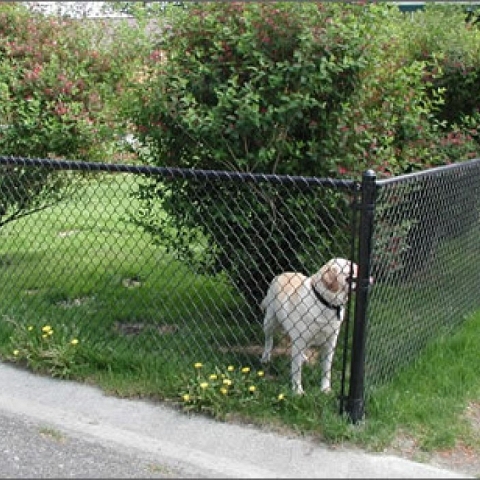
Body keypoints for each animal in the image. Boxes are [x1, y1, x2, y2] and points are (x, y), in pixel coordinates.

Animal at [260, 258, 358, 394]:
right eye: (349, 266)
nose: (359, 266)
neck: (326, 303)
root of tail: (281, 274)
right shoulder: (299, 340)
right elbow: (297, 371)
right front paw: (297, 391)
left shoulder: (330, 344)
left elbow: (326, 370)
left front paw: (325, 389)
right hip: (269, 322)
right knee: (269, 340)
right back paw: (265, 357)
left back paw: (303, 357)